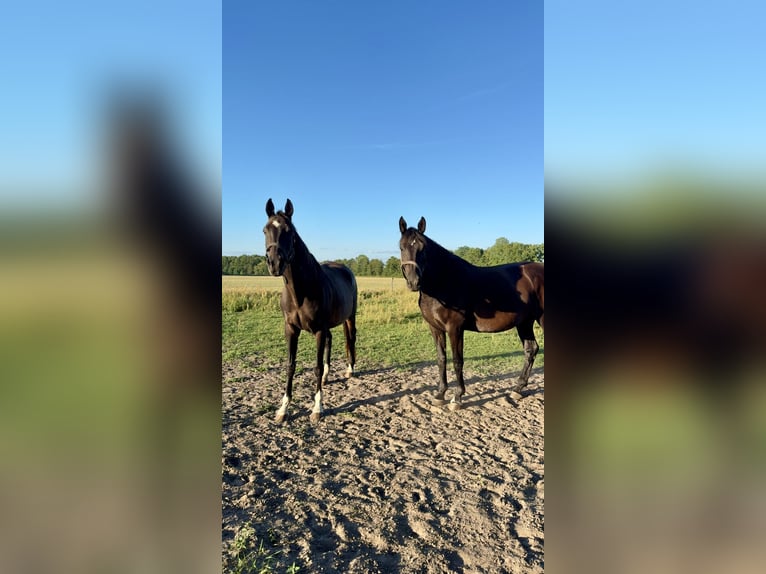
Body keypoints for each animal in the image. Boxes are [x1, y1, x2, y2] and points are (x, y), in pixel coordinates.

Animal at [264, 199, 358, 423]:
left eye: (288, 231)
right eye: (265, 230)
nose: (275, 263)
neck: (301, 292)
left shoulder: (318, 331)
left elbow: (315, 367)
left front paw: (317, 408)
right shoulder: (291, 329)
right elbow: (290, 366)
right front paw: (283, 409)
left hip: (350, 317)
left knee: (350, 339)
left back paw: (350, 369)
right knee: (332, 340)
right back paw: (326, 376)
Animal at [398, 216, 544, 409]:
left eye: (423, 249)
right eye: (401, 247)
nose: (414, 282)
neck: (445, 282)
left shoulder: (455, 328)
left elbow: (457, 360)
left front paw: (457, 397)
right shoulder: (435, 328)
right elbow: (441, 359)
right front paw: (440, 394)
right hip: (525, 322)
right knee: (531, 350)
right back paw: (518, 389)